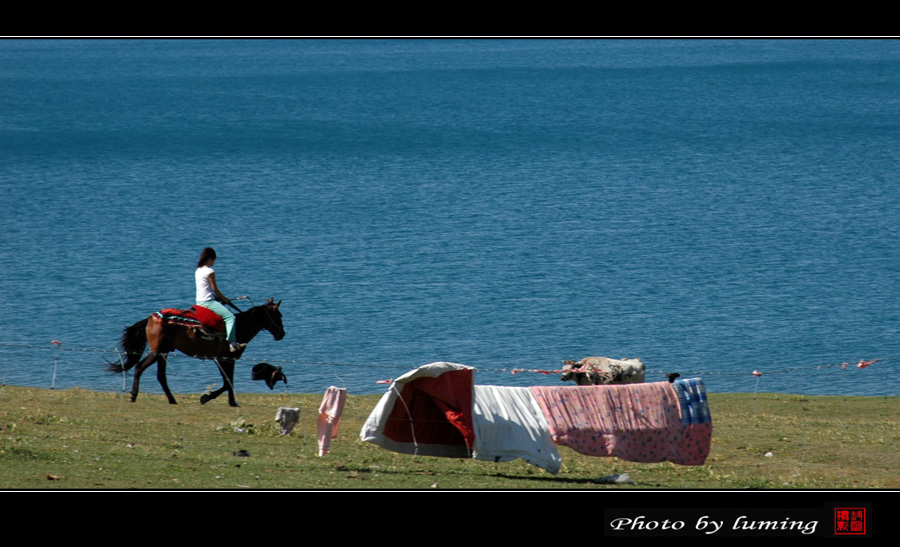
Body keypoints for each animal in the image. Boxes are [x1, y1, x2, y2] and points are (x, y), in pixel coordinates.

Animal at [109, 300, 284, 406]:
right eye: (279, 316)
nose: (282, 334)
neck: (240, 326)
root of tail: (150, 319)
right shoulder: (226, 359)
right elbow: (228, 382)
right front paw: (210, 398)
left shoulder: (222, 360)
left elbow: (228, 382)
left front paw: (228, 401)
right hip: (157, 352)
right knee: (140, 367)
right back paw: (133, 395)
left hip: (163, 353)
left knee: (161, 376)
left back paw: (172, 399)